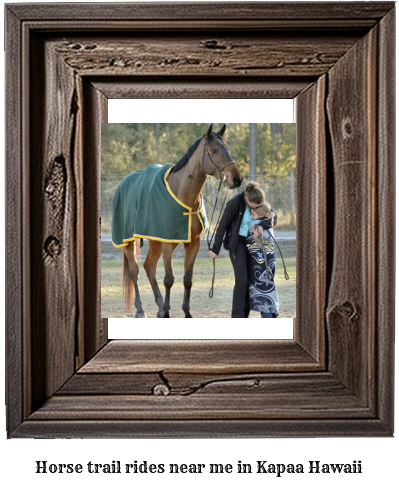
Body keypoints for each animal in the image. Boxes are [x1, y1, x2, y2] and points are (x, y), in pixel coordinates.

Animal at [112, 124, 244, 318]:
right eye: (214, 150)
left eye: (227, 149)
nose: (237, 178)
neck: (184, 196)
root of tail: (123, 183)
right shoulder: (168, 243)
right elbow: (169, 279)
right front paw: (167, 312)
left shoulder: (193, 243)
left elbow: (188, 279)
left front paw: (186, 312)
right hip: (129, 241)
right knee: (135, 272)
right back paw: (141, 309)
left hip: (155, 241)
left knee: (149, 267)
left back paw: (159, 307)